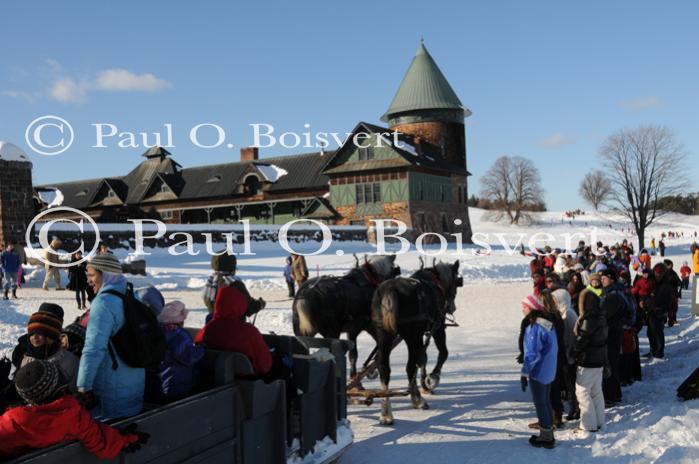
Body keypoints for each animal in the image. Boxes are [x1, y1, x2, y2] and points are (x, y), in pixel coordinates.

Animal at [370, 260, 462, 426]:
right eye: (455, 284)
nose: (452, 307)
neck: (435, 282)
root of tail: (391, 289)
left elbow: (422, 359)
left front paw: (425, 385)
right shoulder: (437, 327)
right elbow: (442, 354)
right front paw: (432, 379)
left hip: (384, 335)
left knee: (384, 369)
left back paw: (386, 414)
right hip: (411, 336)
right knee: (409, 367)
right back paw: (417, 400)